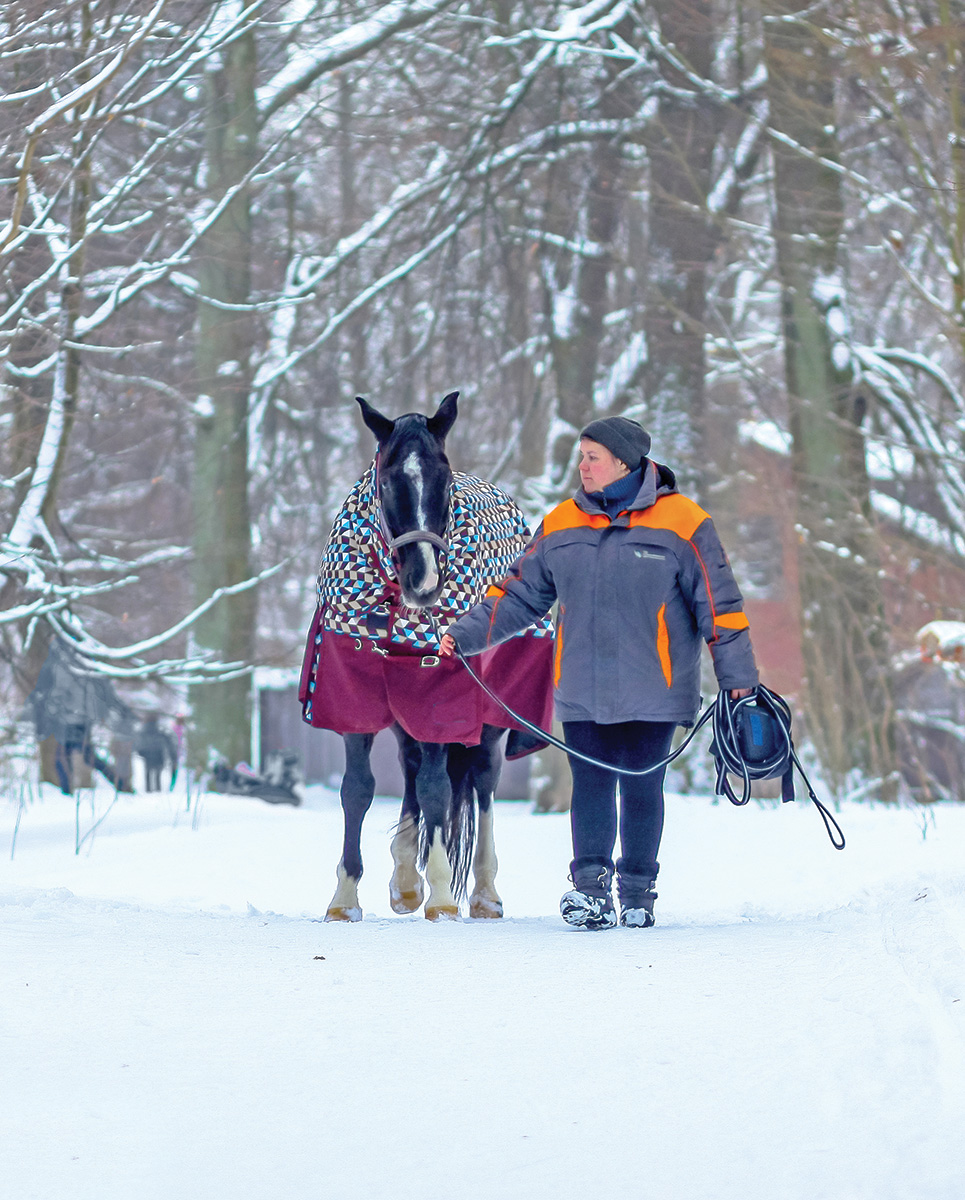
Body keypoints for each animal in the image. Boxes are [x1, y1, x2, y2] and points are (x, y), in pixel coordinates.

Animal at [309, 398, 549, 921]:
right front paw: (344, 898)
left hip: (490, 716)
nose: (425, 582)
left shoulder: (440, 694)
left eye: (444, 478)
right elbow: (357, 789)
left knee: (480, 782)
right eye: (386, 480)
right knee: (412, 769)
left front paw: (441, 896)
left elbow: (438, 788)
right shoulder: (353, 692)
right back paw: (403, 881)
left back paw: (484, 892)